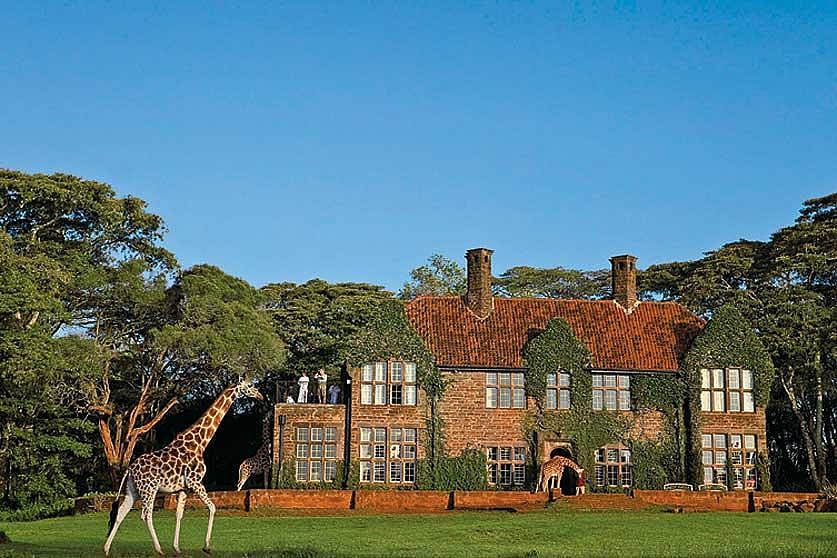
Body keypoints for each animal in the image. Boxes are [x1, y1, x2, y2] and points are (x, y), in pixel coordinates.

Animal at [104, 378, 264, 557]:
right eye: (249, 386)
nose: (260, 396)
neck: (199, 443)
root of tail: (130, 469)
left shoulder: (184, 488)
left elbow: (179, 515)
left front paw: (177, 548)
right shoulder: (196, 482)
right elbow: (212, 507)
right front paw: (206, 547)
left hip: (133, 490)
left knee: (121, 513)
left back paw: (106, 549)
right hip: (149, 489)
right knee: (146, 515)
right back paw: (159, 549)